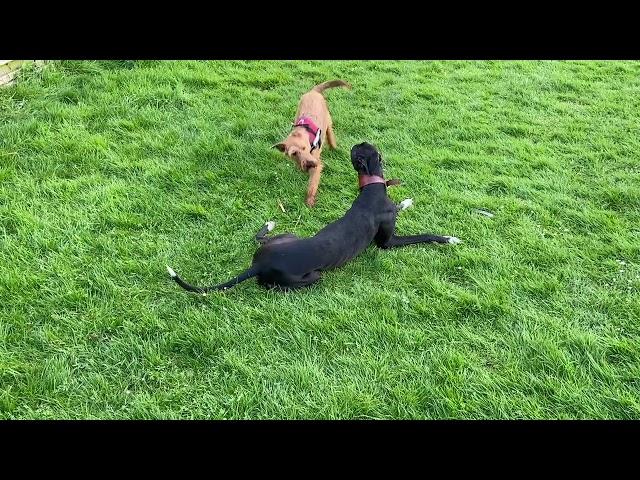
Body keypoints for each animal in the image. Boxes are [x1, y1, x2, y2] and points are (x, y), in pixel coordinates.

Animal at [168, 142, 460, 292]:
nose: (354, 142)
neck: (371, 188)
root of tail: (258, 265)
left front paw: (406, 200)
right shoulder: (386, 243)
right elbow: (420, 234)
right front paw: (447, 237)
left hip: (286, 237)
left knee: (260, 238)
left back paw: (269, 225)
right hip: (312, 276)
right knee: (272, 286)